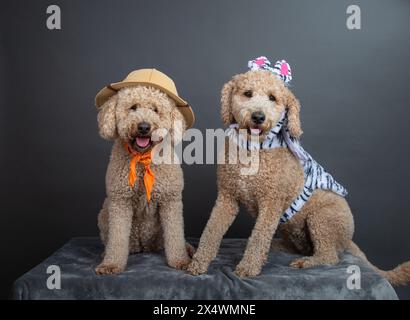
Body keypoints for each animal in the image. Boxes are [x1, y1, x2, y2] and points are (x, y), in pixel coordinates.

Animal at [95, 85, 192, 276]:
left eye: (155, 109)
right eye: (133, 107)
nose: (144, 127)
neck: (142, 159)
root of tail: (144, 246)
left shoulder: (171, 201)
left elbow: (175, 234)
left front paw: (180, 260)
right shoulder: (120, 201)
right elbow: (117, 237)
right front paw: (111, 264)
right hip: (105, 213)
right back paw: (106, 253)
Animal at [187, 69, 410, 284]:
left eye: (272, 97)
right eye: (248, 93)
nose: (258, 116)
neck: (254, 150)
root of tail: (349, 241)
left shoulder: (271, 203)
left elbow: (259, 238)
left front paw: (248, 268)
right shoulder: (227, 198)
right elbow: (211, 231)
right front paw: (198, 263)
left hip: (322, 219)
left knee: (329, 256)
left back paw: (307, 262)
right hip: (291, 227)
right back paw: (275, 248)